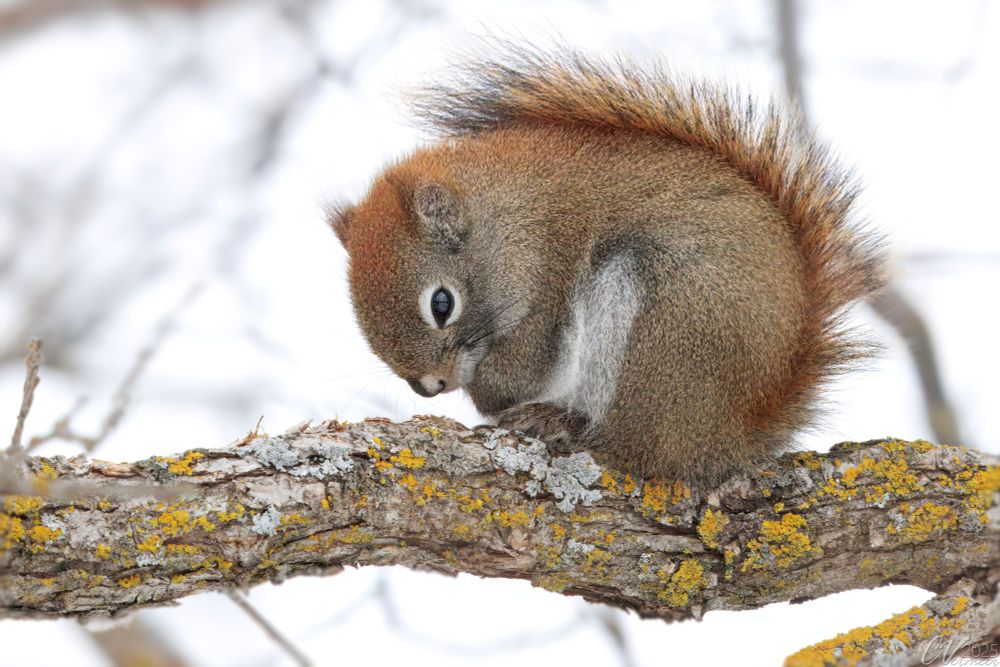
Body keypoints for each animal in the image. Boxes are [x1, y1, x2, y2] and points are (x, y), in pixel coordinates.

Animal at [330, 45, 885, 488]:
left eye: (441, 304)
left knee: (641, 450)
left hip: (665, 322)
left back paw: (568, 425)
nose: (428, 387)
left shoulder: (547, 272)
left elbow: (518, 376)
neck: (507, 218)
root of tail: (733, 436)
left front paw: (491, 395)